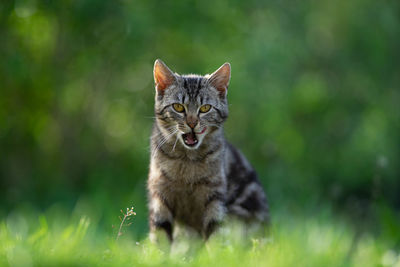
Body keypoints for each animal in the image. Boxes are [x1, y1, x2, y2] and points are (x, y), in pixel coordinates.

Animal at [147, 60, 268, 243]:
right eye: (178, 107)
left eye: (205, 108)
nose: (191, 123)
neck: (186, 161)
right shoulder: (160, 195)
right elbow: (160, 236)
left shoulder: (215, 195)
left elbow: (215, 233)